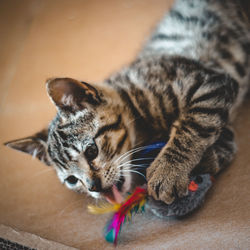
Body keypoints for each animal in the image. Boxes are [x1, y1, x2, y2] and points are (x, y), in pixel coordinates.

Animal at [5, 0, 250, 206]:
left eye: (91, 151)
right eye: (72, 180)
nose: (94, 188)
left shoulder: (210, 82)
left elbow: (193, 126)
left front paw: (168, 171)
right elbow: (218, 136)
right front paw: (207, 157)